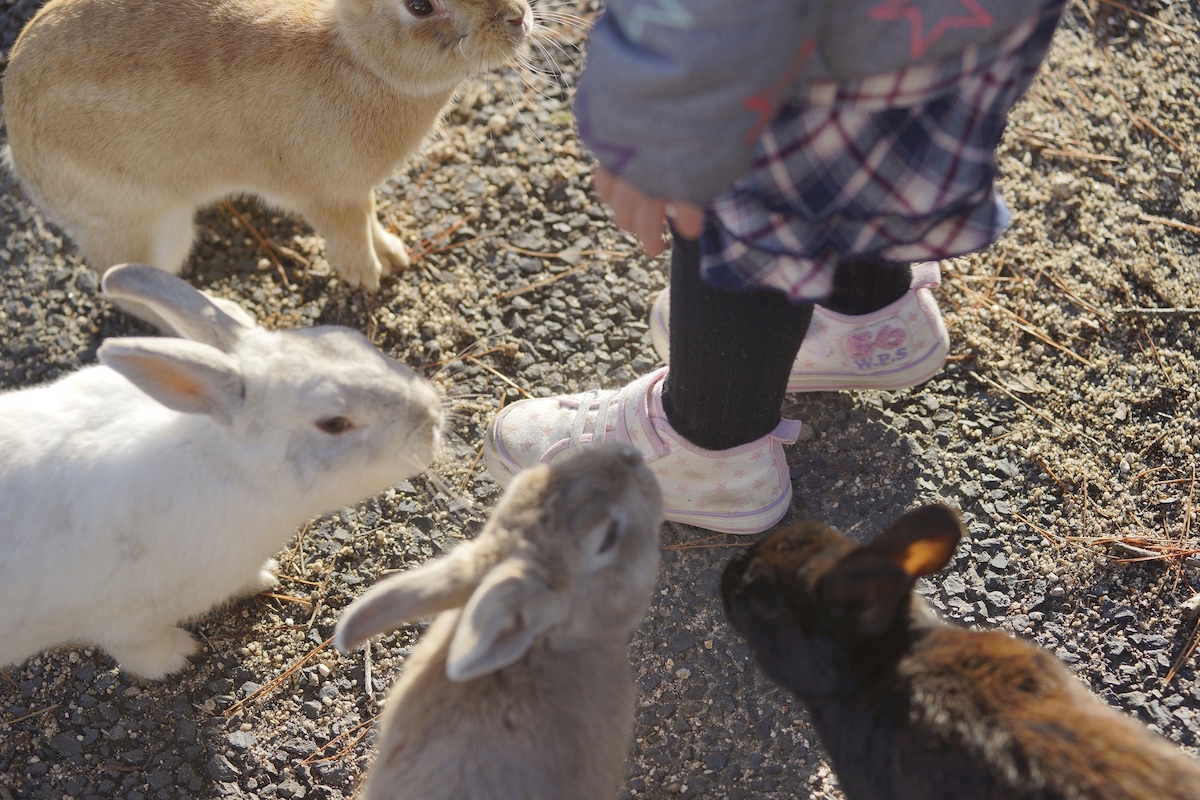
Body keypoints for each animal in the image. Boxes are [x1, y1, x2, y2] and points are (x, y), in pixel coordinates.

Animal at [0, 0, 532, 289]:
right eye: (420, 5)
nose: (518, 17)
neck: (360, 57)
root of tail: (22, 154)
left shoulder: (355, 189)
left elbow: (370, 216)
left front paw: (393, 253)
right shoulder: (326, 194)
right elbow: (349, 229)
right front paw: (365, 275)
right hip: (149, 229)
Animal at [0, 266, 444, 681]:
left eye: (350, 338)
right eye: (334, 423)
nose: (433, 417)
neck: (228, 467)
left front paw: (265, 576)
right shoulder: (122, 617)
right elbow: (140, 649)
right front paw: (179, 657)